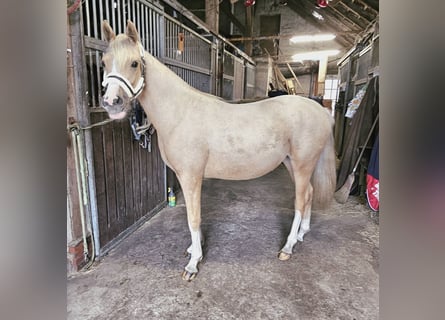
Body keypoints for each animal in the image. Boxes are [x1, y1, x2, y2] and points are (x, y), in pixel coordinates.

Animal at [100, 20, 334, 280]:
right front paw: (195, 248)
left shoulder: (191, 176)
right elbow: (194, 215)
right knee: (310, 193)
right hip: (291, 163)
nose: (111, 103)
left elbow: (193, 217)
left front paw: (193, 263)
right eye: (104, 62)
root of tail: (321, 110)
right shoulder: (187, 177)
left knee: (300, 201)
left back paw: (288, 247)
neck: (181, 112)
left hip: (303, 165)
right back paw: (302, 234)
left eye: (134, 63)